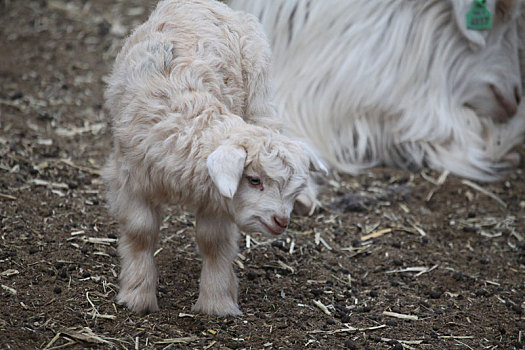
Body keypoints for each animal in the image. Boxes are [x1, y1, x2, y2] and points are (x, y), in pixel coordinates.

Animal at [102, 0, 324, 318]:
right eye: (253, 180)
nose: (281, 221)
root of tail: (202, 3)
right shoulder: (132, 180)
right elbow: (140, 232)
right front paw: (137, 296)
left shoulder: (216, 196)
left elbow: (214, 243)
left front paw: (216, 303)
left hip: (258, 92)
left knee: (268, 122)